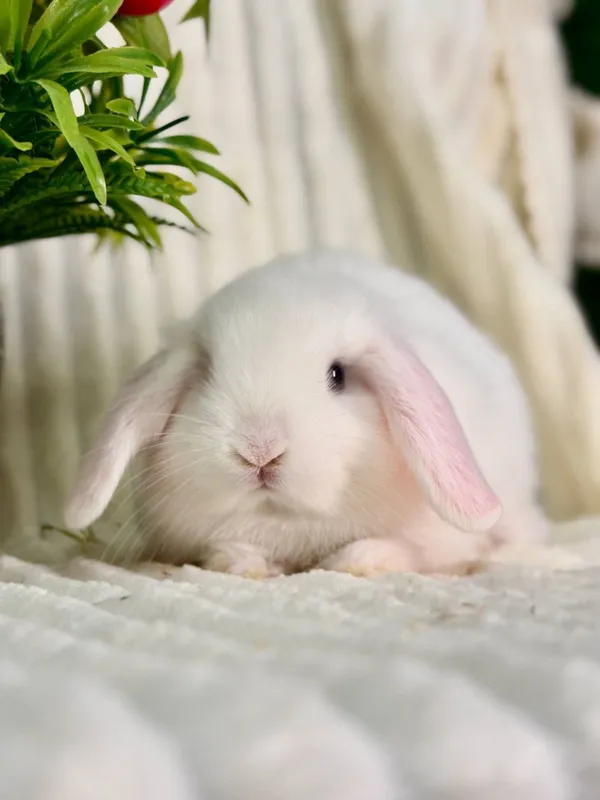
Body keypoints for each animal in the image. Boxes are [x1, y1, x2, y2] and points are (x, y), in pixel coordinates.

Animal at [65, 250, 547, 578]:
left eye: (337, 375)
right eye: (206, 373)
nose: (260, 451)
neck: (289, 524)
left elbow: (401, 551)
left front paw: (355, 561)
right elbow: (226, 550)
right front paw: (243, 563)